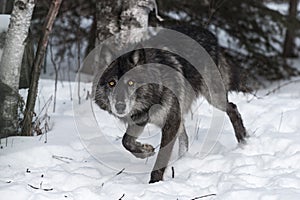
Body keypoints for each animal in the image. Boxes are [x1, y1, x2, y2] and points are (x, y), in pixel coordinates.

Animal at [92, 25, 247, 184]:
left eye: (130, 82)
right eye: (112, 83)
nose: (120, 106)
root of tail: (208, 32)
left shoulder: (170, 122)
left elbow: (161, 158)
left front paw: (154, 183)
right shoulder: (141, 119)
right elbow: (126, 141)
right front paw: (145, 151)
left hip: (213, 97)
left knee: (232, 107)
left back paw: (243, 140)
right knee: (185, 137)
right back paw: (183, 161)